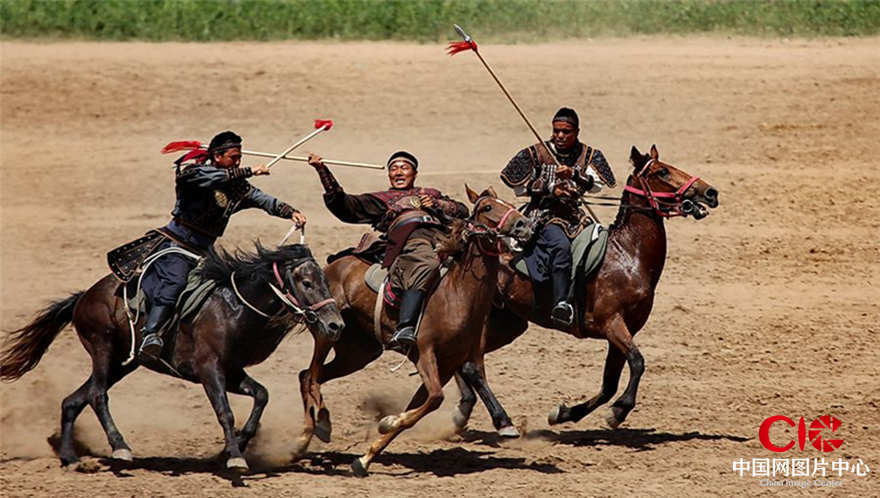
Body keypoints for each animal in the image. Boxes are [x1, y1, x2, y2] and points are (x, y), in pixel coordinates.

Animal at [0, 243, 344, 472]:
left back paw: (70, 458)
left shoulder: (233, 371)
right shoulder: (209, 370)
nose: (335, 325)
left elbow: (261, 395)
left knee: (73, 400)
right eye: (307, 283)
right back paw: (120, 447)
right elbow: (225, 412)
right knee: (97, 396)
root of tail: (83, 297)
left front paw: (234, 448)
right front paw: (234, 456)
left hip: (123, 363)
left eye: (325, 281)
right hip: (102, 349)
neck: (233, 308)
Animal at [296, 185, 532, 476]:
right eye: (488, 207)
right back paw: (314, 430)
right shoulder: (424, 353)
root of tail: (330, 268)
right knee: (312, 376)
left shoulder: (446, 364)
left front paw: (367, 455)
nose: (524, 224)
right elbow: (435, 399)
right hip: (327, 331)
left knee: (307, 375)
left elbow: (419, 407)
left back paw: (313, 432)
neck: (456, 295)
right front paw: (385, 424)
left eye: (508, 203)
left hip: (357, 353)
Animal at [454, 146, 720, 434]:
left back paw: (463, 411)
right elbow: (637, 362)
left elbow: (609, 385)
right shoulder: (612, 324)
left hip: (508, 323)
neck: (627, 255)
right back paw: (502, 421)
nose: (710, 192)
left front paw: (563, 413)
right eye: (662, 172)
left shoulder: (624, 330)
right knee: (472, 366)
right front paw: (619, 411)